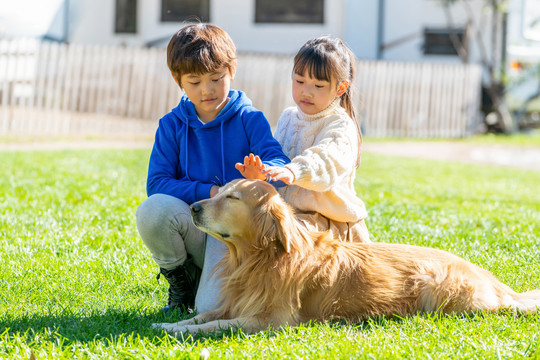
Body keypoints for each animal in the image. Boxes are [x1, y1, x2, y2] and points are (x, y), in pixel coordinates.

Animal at [152, 178, 540, 334]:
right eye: (220, 191)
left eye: (232, 198)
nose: (194, 206)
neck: (259, 259)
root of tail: (492, 280)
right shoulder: (234, 303)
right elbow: (202, 317)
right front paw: (168, 325)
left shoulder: (270, 321)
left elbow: (215, 325)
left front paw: (177, 332)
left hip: (445, 292)